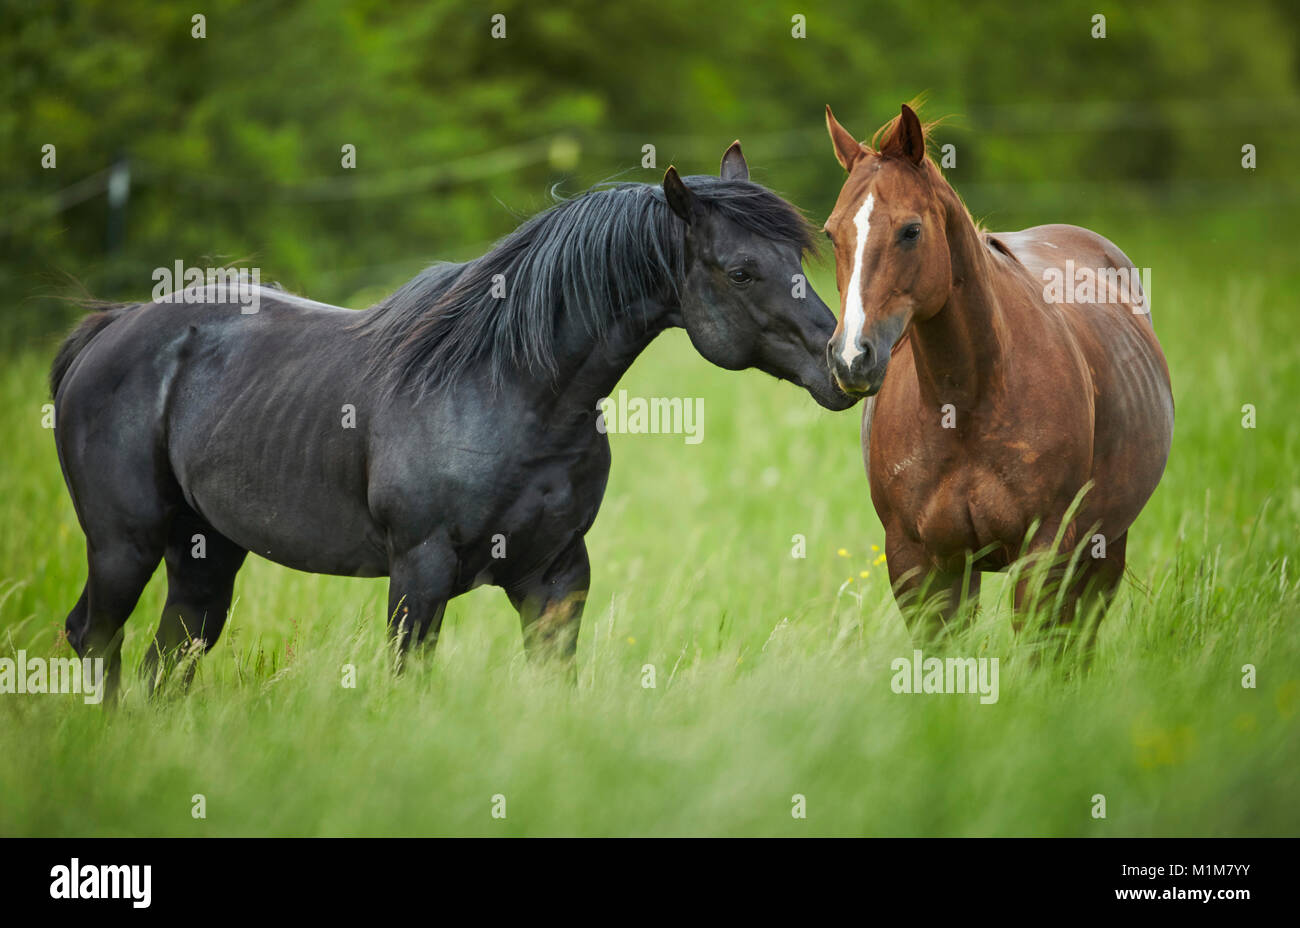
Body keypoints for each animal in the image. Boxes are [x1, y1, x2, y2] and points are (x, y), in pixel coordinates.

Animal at [53, 144, 852, 696]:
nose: (850, 363)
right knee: (95, 639)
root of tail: (114, 327)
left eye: (798, 255)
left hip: (206, 551)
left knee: (170, 658)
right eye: (742, 270)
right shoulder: (421, 572)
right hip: (124, 544)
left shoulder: (557, 575)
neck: (511, 391)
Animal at [826, 101, 1175, 636]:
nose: (851, 357)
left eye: (911, 230)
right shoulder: (921, 562)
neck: (965, 402)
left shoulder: (1046, 550)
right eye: (831, 234)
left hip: (1105, 549)